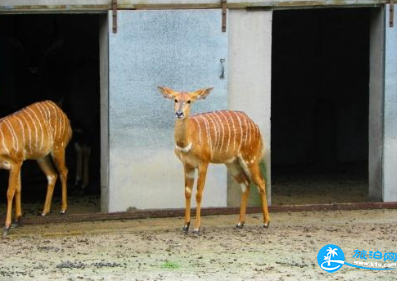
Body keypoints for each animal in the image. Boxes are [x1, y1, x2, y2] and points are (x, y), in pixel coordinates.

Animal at [0, 99, 71, 235]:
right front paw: (17, 220)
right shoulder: (19, 163)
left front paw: (7, 227)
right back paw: (44, 211)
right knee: (52, 175)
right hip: (41, 156)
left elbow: (10, 192)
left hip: (58, 147)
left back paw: (63, 209)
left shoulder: (15, 162)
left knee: (63, 172)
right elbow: (18, 189)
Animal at [157, 85, 270, 232]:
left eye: (189, 101)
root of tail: (255, 126)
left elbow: (199, 193)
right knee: (245, 184)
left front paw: (196, 227)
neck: (188, 140)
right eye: (175, 99)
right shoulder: (188, 165)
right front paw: (185, 225)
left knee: (261, 182)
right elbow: (187, 192)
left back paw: (266, 222)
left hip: (249, 158)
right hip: (233, 163)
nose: (179, 113)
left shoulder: (203, 163)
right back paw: (240, 222)